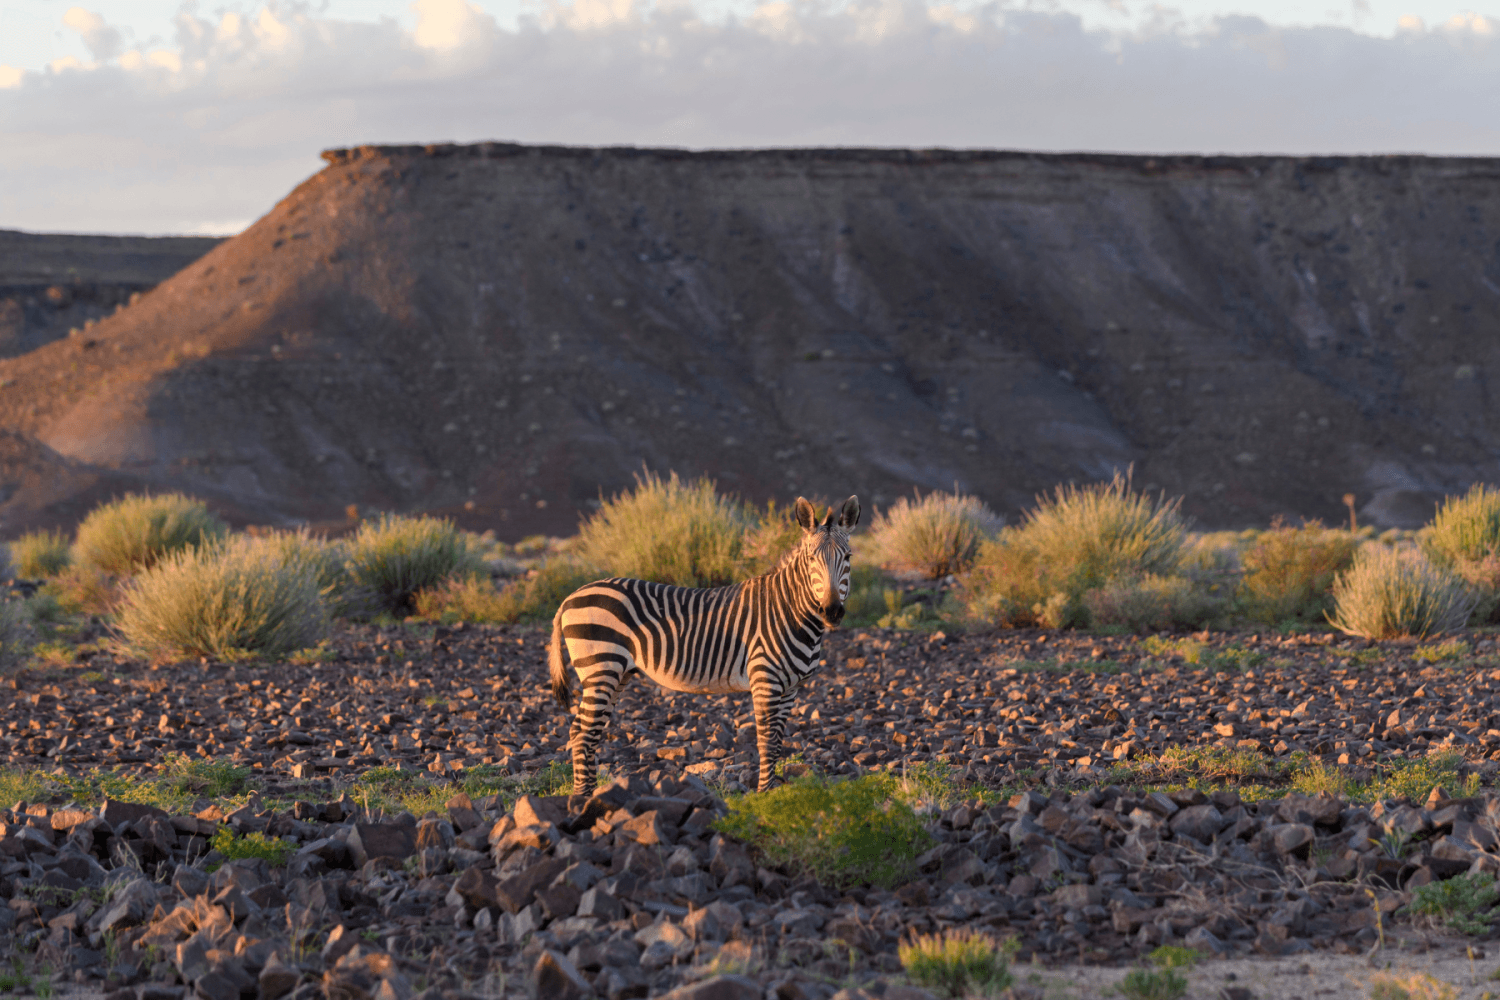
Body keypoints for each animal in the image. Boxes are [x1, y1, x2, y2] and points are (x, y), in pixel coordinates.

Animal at [552, 497, 864, 791]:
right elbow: (766, 743)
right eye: (811, 558)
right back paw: (582, 798)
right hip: (600, 669)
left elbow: (776, 743)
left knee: (585, 731)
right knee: (583, 733)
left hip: (617, 674)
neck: (788, 609)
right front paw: (764, 795)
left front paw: (773, 793)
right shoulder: (765, 680)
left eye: (848, 556)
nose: (831, 611)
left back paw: (589, 793)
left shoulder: (791, 688)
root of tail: (570, 597)